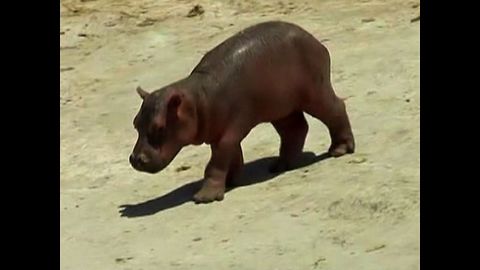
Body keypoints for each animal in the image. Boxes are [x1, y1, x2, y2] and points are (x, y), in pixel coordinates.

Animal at [129, 20, 354, 202]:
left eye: (159, 127)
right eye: (135, 123)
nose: (134, 159)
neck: (198, 98)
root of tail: (316, 41)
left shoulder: (230, 130)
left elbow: (216, 162)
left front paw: (204, 197)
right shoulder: (220, 132)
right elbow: (230, 154)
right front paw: (231, 181)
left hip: (314, 92)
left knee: (336, 108)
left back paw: (340, 150)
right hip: (280, 107)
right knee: (296, 129)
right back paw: (280, 166)